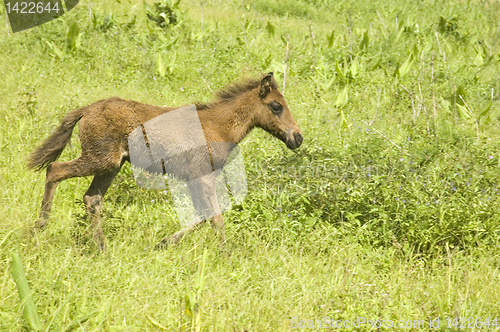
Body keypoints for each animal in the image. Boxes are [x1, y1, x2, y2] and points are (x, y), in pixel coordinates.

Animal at [29, 72, 302, 249]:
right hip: (100, 160)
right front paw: (226, 255)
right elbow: (217, 219)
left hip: (111, 165)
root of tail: (86, 110)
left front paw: (164, 243)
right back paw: (39, 226)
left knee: (91, 198)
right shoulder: (203, 176)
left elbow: (202, 216)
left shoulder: (193, 179)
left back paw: (101, 246)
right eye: (276, 106)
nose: (297, 138)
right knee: (55, 169)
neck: (219, 127)